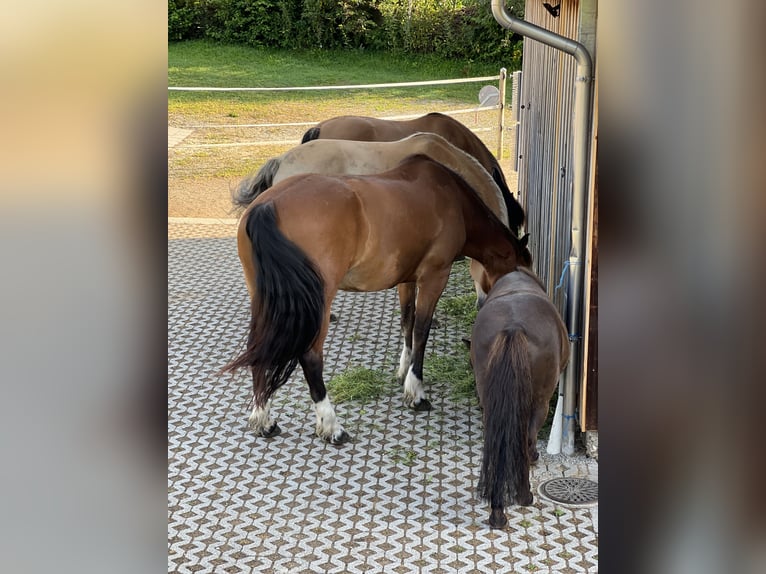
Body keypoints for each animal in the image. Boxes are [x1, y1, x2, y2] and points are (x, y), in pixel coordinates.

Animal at [225, 155, 532, 448]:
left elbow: (407, 322)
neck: (450, 197)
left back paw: (264, 421)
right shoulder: (434, 277)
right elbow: (422, 330)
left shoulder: (407, 279)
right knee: (310, 357)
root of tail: (267, 206)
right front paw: (416, 392)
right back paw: (332, 427)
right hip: (319, 304)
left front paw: (403, 371)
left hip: (264, 300)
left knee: (259, 349)